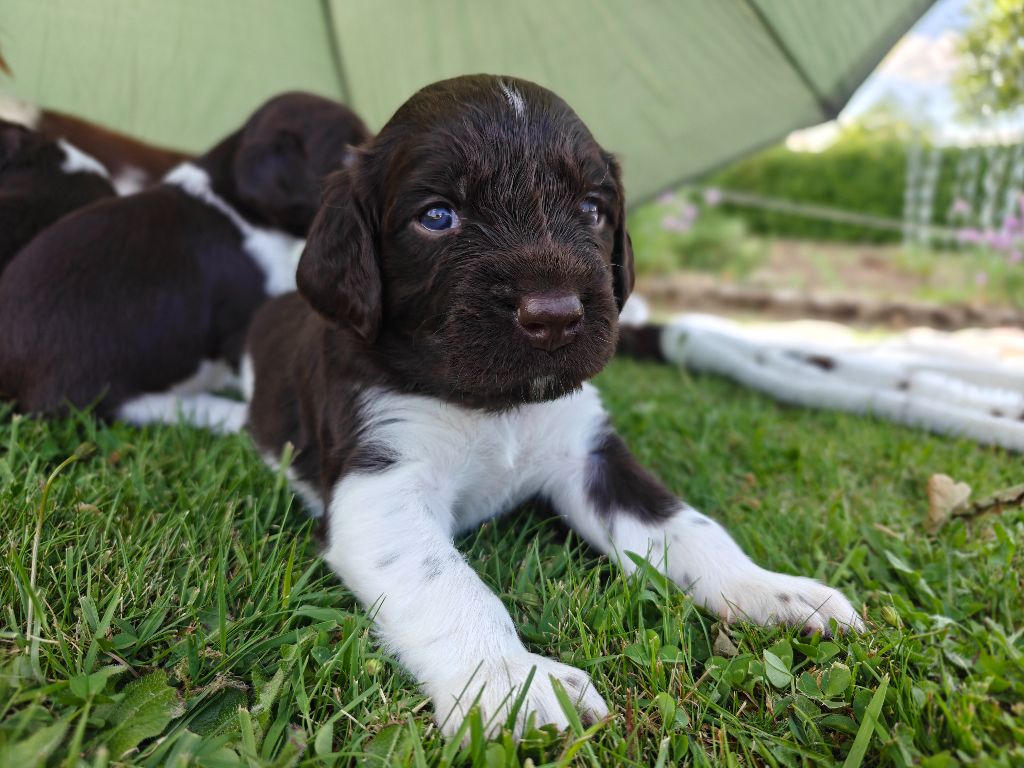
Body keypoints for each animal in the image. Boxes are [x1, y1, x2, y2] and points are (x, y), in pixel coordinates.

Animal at [243, 75, 864, 739]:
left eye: (592, 209)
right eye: (436, 216)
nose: (555, 315)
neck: (499, 405)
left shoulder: (592, 457)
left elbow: (688, 526)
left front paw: (768, 590)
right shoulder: (381, 487)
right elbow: (449, 584)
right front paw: (511, 681)